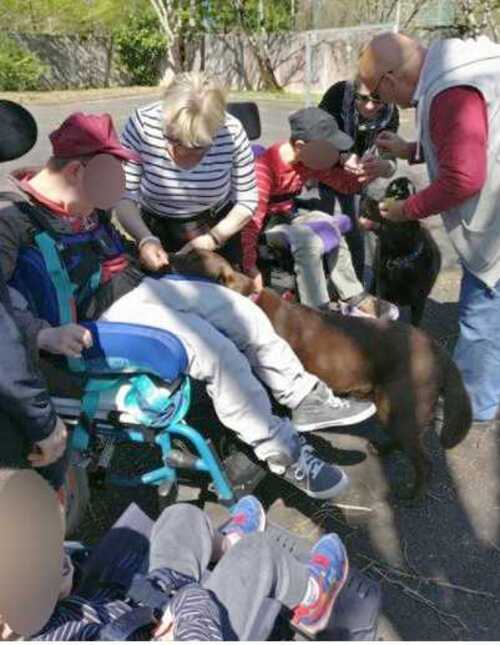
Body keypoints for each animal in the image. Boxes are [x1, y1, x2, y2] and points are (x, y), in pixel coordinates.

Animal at [173, 249, 472, 500]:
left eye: (192, 260)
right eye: (189, 252)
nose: (169, 255)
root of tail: (438, 350)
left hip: (402, 406)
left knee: (424, 461)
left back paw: (412, 495)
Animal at [360, 177, 442, 324]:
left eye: (384, 208)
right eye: (381, 198)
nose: (364, 197)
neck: (399, 259)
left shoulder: (419, 302)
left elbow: (415, 323)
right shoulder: (384, 295)